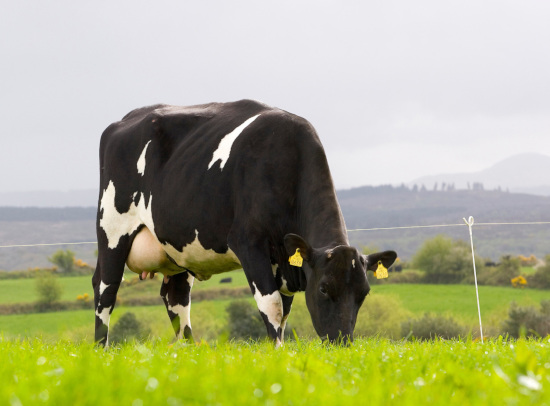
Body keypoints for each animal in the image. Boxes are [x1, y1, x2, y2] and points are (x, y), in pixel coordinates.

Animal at [92, 99, 398, 346]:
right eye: (323, 287)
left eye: (364, 293)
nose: (341, 342)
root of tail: (125, 119)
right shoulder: (249, 243)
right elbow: (272, 305)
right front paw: (278, 355)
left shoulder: (284, 263)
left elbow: (284, 313)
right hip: (112, 230)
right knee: (105, 289)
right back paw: (100, 350)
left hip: (176, 247)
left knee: (176, 297)